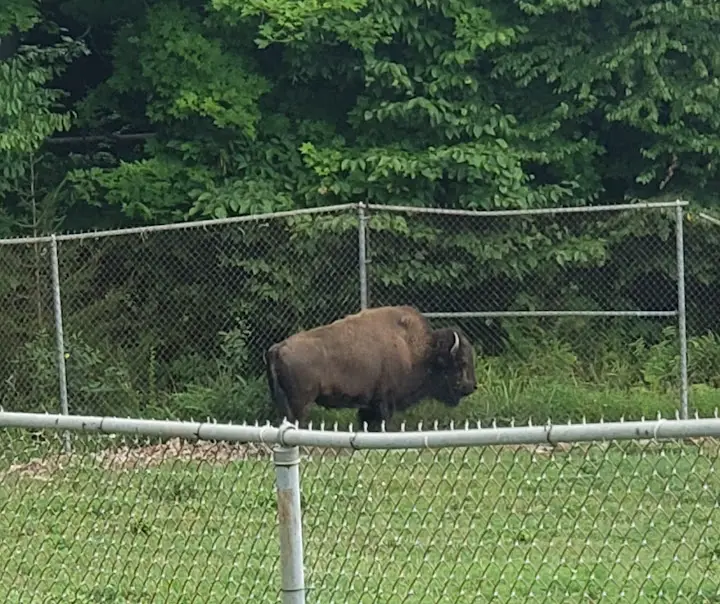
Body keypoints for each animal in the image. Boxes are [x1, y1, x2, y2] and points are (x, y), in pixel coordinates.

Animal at [264, 306, 478, 430]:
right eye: (461, 362)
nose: (471, 386)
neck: (418, 350)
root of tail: (278, 348)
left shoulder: (368, 404)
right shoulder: (384, 401)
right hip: (301, 403)